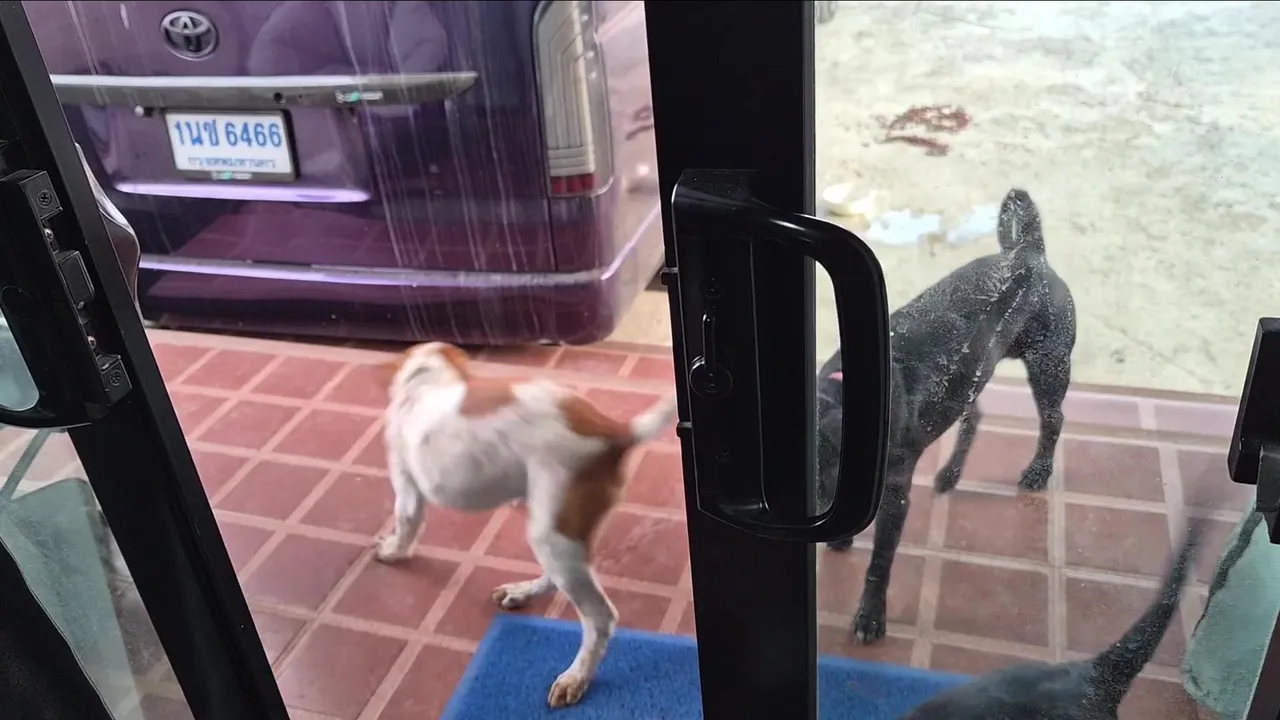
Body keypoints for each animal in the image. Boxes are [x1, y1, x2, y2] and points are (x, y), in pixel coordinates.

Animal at [373, 342, 677, 708]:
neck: (427, 380)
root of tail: (613, 432)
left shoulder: (406, 486)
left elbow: (405, 525)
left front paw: (391, 551)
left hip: (553, 532)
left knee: (600, 619)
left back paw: (576, 676)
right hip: (551, 524)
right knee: (559, 576)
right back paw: (523, 592)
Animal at [817, 188, 1077, 643]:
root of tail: (1029, 252)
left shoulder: (895, 498)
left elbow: (878, 565)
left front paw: (870, 618)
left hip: (1049, 366)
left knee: (1053, 421)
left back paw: (1038, 471)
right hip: (970, 378)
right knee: (975, 416)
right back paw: (951, 474)